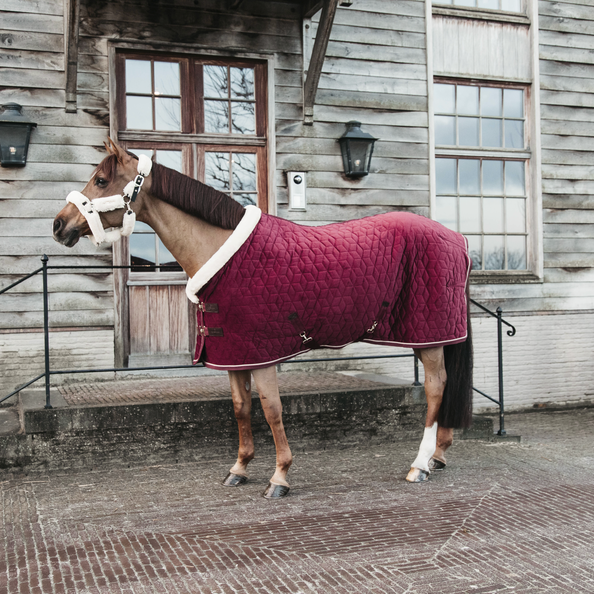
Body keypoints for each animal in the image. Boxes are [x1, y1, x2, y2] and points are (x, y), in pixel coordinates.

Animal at [54, 141, 472, 498]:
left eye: (101, 180)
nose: (59, 225)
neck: (222, 251)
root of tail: (457, 239)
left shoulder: (262, 354)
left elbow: (271, 409)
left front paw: (280, 476)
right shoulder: (234, 353)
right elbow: (241, 408)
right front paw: (239, 468)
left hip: (430, 338)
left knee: (435, 388)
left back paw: (419, 464)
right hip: (428, 337)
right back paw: (437, 456)